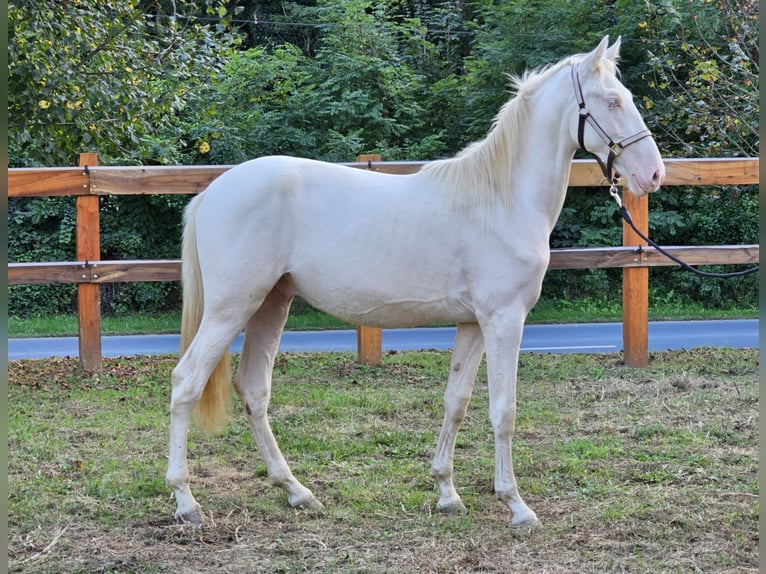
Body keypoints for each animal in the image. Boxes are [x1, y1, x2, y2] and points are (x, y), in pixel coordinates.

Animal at [166, 37, 664, 532]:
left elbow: (456, 401)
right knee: (186, 383)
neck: (500, 201)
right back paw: (187, 501)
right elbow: (503, 410)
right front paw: (516, 505)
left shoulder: (473, 324)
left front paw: (447, 492)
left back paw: (297, 492)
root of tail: (212, 192)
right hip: (232, 308)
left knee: (254, 389)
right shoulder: (504, 320)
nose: (654, 174)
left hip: (271, 303)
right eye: (612, 101)